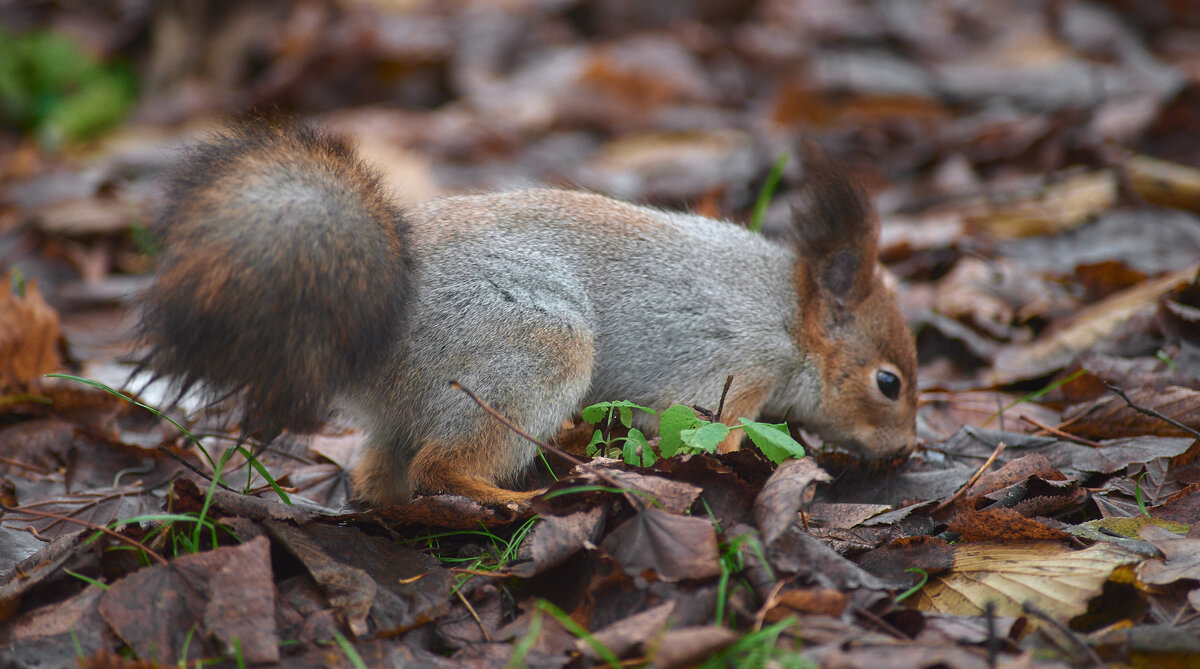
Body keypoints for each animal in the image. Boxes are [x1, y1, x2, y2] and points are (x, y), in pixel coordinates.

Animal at [140, 123, 921, 505]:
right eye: (889, 383)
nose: (910, 450)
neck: (789, 316)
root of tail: (370, 319)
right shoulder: (736, 368)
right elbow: (711, 434)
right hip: (533, 348)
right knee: (439, 465)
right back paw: (515, 497)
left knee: (382, 478)